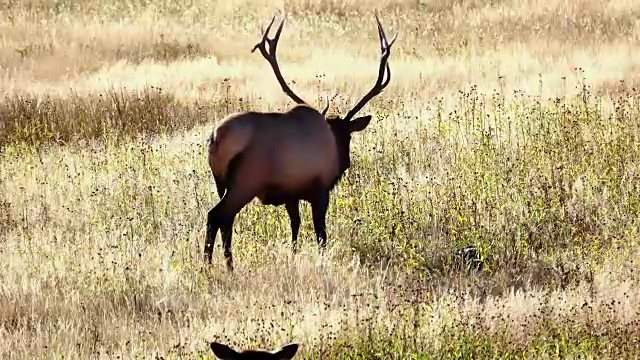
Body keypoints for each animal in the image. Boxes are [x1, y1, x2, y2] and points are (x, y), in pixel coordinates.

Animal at [205, 14, 396, 270]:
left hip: (221, 185)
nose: (346, 162)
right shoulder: (320, 190)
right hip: (245, 182)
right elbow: (321, 234)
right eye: (347, 136)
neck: (332, 139)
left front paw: (293, 254)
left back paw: (226, 264)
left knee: (227, 222)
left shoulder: (291, 194)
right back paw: (211, 266)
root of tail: (215, 138)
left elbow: (294, 226)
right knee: (216, 216)